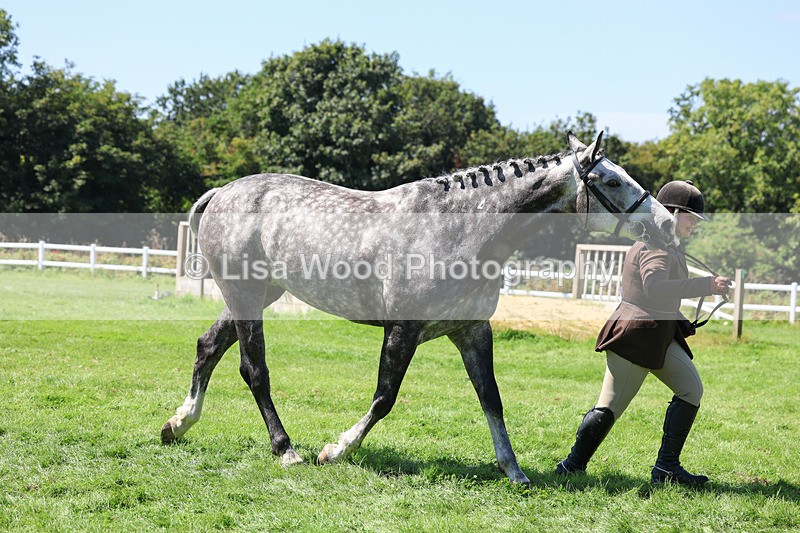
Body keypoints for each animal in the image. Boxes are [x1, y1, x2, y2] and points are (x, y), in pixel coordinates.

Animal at [161, 132, 676, 487]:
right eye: (611, 179)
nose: (668, 223)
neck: (461, 230)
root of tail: (222, 192)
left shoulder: (472, 330)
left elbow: (491, 399)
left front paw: (514, 471)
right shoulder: (402, 330)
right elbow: (384, 398)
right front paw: (336, 450)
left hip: (253, 295)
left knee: (208, 347)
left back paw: (178, 424)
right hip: (246, 297)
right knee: (254, 369)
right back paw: (285, 449)